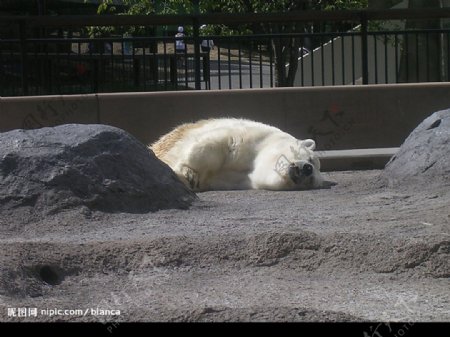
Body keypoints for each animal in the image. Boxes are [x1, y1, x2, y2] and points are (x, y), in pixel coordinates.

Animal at [150, 118, 324, 192]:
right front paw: (187, 174)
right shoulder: (250, 137)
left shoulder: (230, 181)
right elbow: (215, 144)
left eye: (312, 181)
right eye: (310, 159)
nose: (307, 169)